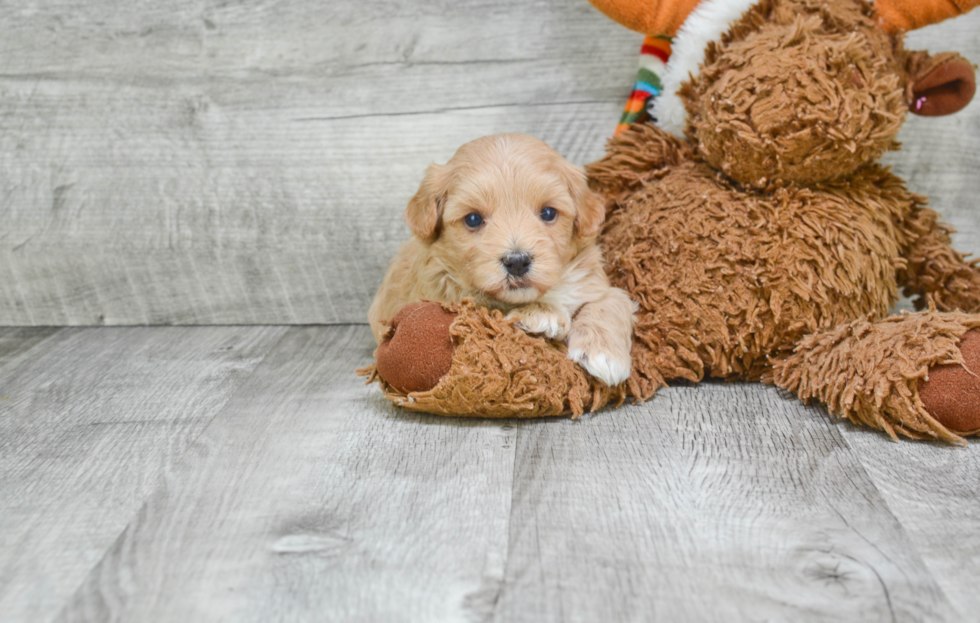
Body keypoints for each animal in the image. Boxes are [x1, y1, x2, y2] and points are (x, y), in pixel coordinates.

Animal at [368, 134, 636, 386]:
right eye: (473, 219)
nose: (517, 261)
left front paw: (604, 354)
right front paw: (543, 315)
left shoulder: (593, 282)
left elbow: (613, 299)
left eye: (548, 213)